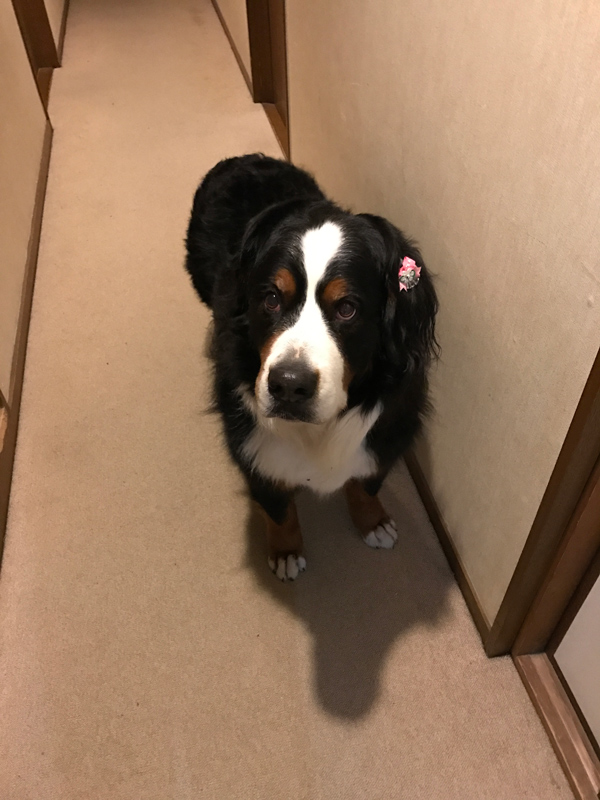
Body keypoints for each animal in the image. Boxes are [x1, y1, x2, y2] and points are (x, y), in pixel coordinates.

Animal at [185, 154, 438, 581]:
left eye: (347, 308)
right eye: (271, 298)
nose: (289, 385)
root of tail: (242, 159)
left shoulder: (391, 429)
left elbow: (367, 484)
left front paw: (373, 522)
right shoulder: (253, 449)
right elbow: (278, 507)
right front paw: (286, 551)